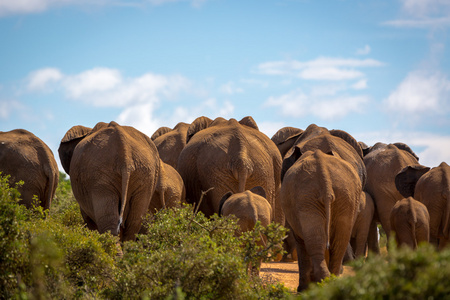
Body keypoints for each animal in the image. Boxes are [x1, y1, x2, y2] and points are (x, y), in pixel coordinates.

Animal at [282, 150, 362, 290]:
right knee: (338, 242)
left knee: (316, 241)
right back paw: (330, 283)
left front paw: (303, 288)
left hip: (307, 197)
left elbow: (300, 242)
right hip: (344, 197)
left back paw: (322, 283)